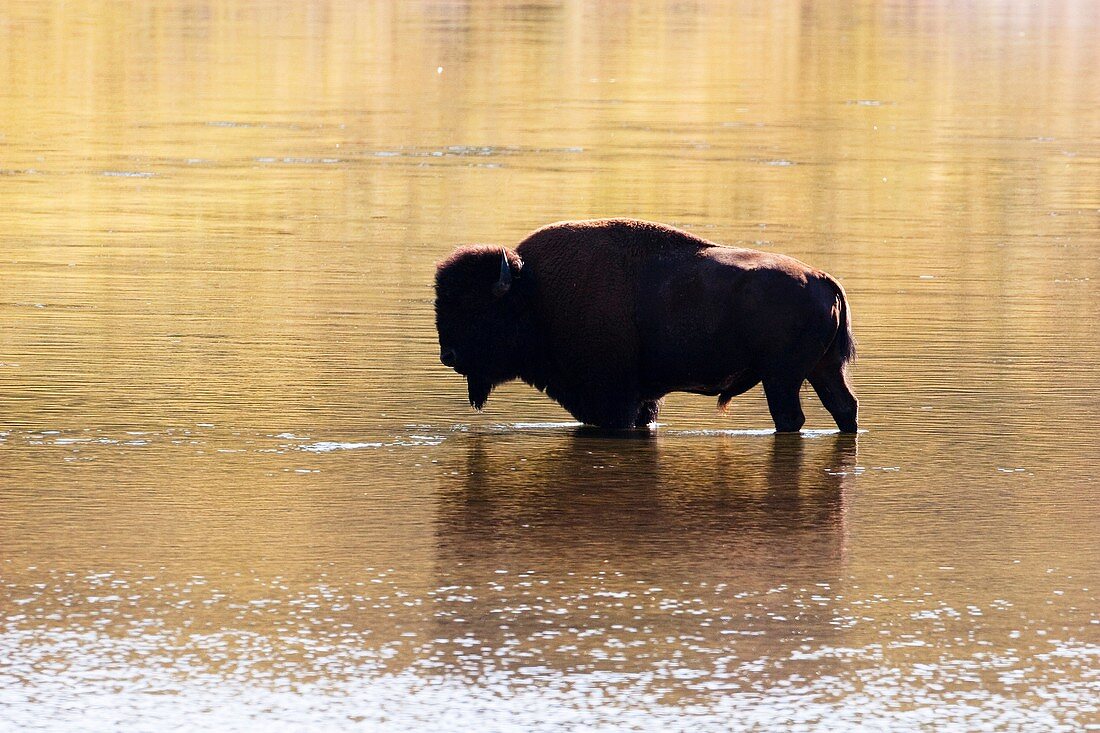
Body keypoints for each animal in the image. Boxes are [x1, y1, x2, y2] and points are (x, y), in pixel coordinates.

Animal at [431, 220, 858, 431]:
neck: (535, 293)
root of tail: (823, 279)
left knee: (791, 418)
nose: (448, 355)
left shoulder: (613, 399)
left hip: (782, 377)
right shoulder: (640, 400)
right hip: (823, 370)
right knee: (844, 408)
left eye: (475, 307)